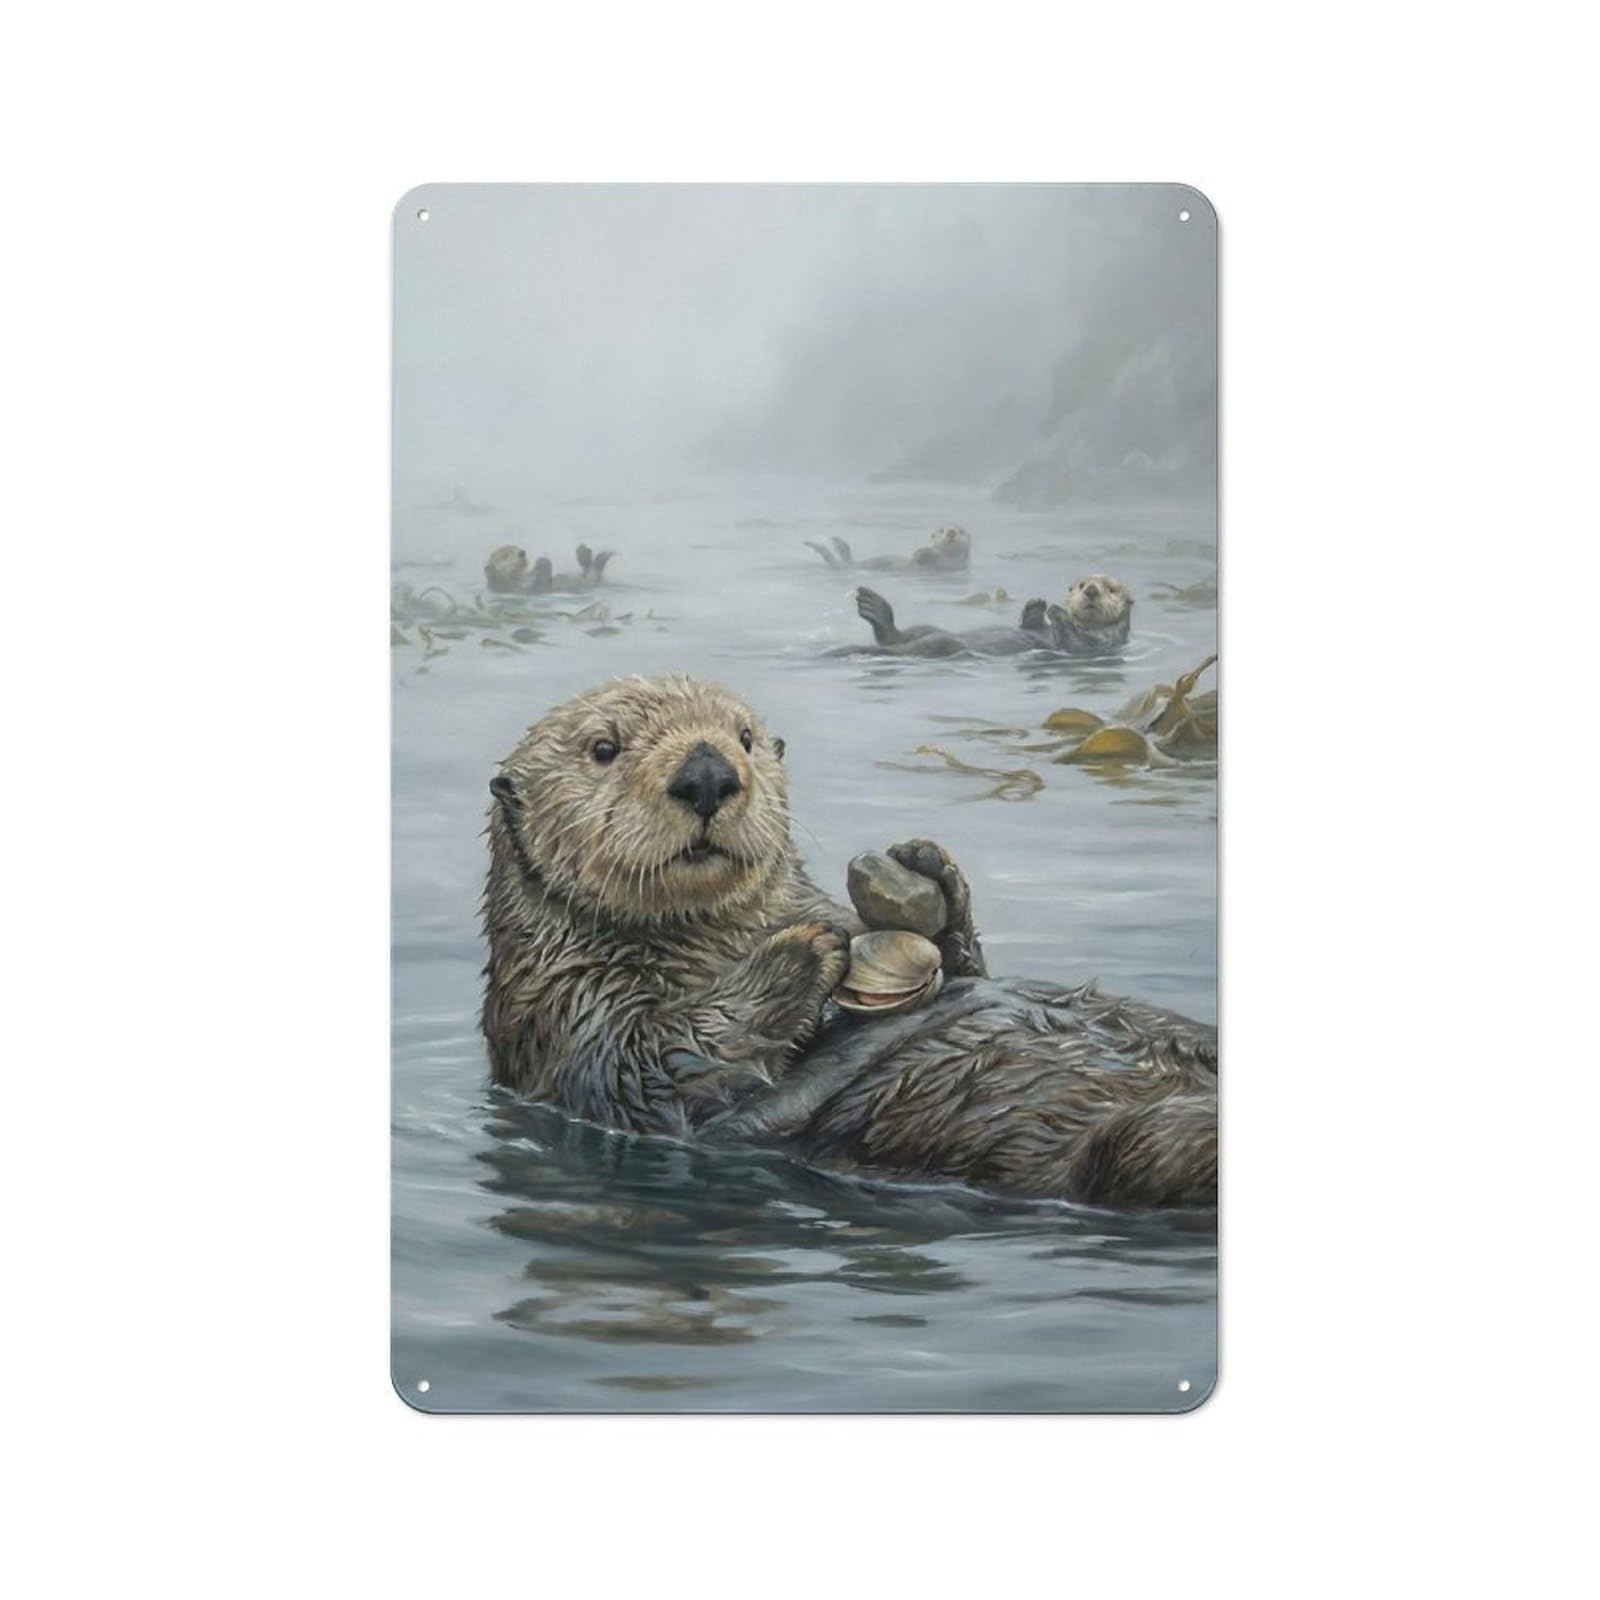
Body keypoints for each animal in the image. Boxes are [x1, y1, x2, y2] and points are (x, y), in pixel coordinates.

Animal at [482, 675, 1215, 1209]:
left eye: (745, 737)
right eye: (603, 749)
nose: (708, 773)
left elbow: (961, 970)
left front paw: (928, 869)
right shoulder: (566, 1018)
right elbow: (655, 1065)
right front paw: (803, 953)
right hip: (1133, 1146)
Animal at [805, 525, 971, 573]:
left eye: (961, 530)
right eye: (941, 530)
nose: (951, 532)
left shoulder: (953, 565)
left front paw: (924, 552)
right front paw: (919, 552)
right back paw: (838, 543)